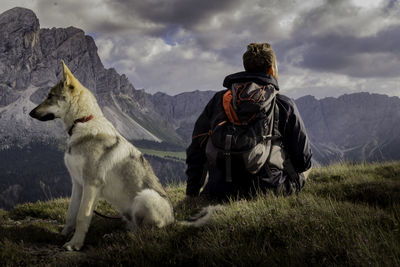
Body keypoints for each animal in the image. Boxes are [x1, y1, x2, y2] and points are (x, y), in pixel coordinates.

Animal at [30, 60, 216, 251]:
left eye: (50, 96)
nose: (30, 113)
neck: (82, 122)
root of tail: (174, 220)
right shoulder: (77, 184)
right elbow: (70, 214)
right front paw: (62, 236)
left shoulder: (91, 184)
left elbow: (82, 217)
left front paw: (75, 244)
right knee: (133, 227)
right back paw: (114, 235)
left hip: (145, 197)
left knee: (147, 232)